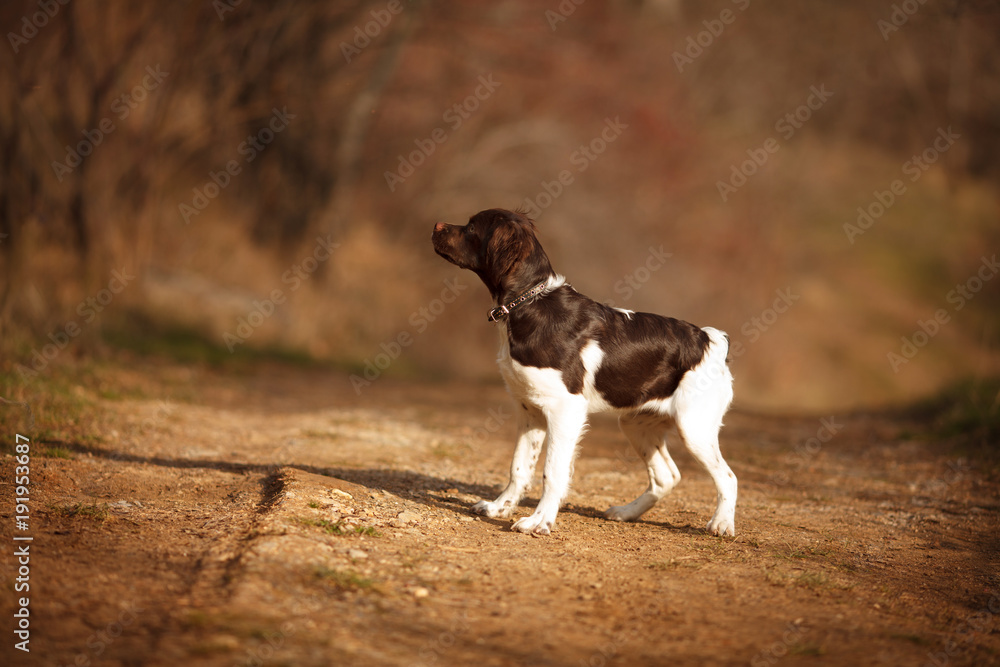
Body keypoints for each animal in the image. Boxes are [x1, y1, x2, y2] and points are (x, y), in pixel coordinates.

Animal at [434, 209, 740, 536]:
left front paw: (539, 521)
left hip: (694, 427)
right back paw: (626, 512)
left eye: (472, 227)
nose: (435, 225)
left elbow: (552, 471)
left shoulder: (565, 409)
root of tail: (713, 339)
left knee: (728, 476)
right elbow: (519, 466)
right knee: (666, 475)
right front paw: (499, 508)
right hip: (637, 423)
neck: (530, 304)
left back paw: (721, 524)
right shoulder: (529, 410)